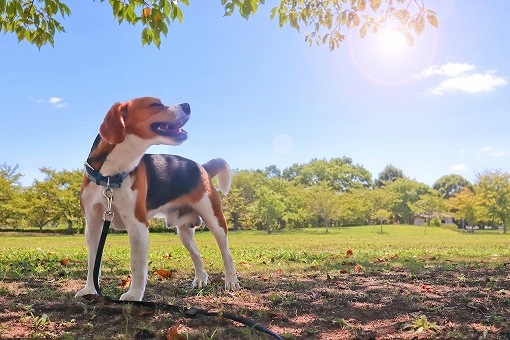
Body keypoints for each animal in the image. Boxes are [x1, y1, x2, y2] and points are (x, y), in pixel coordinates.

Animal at [75, 97, 241, 302]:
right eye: (155, 105)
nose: (187, 105)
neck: (110, 175)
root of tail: (201, 167)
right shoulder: (93, 225)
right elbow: (92, 263)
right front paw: (90, 290)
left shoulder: (137, 225)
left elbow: (137, 265)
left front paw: (134, 295)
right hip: (184, 233)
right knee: (196, 254)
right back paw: (201, 279)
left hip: (215, 220)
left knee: (226, 253)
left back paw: (231, 281)